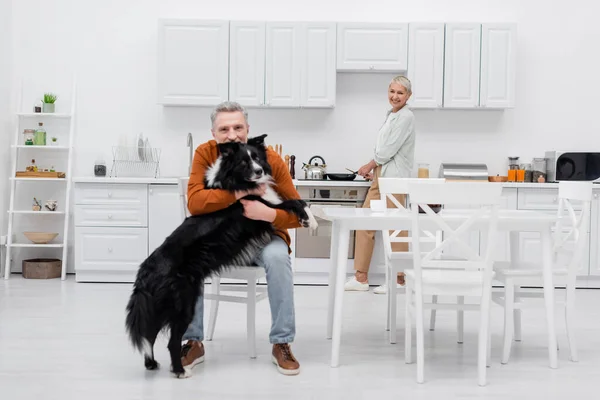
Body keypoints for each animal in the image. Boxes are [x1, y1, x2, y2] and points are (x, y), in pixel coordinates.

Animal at [124, 134, 316, 378]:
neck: (238, 182)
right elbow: (293, 202)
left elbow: (295, 200)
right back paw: (179, 370)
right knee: (171, 341)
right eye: (243, 162)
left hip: (160, 305)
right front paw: (310, 220)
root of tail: (145, 272)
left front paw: (310, 218)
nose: (259, 172)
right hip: (183, 302)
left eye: (257, 158)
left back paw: (151, 364)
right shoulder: (260, 211)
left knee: (149, 334)